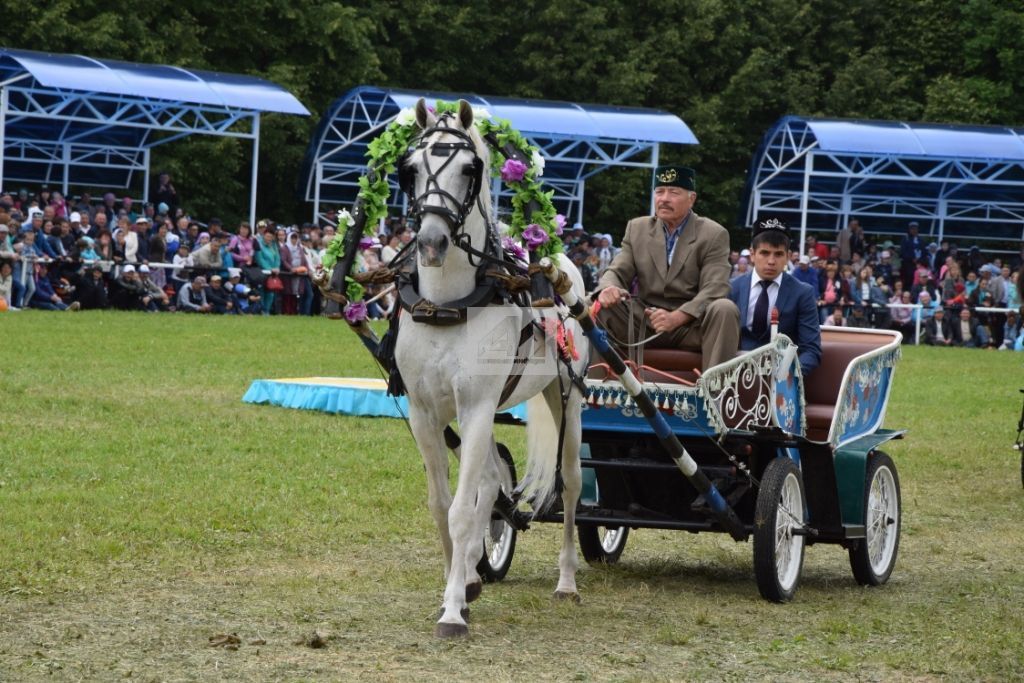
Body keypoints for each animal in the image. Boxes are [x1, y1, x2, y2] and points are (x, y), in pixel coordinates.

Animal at [391, 98, 585, 638]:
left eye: (469, 169)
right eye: (411, 169)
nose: (432, 243)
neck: (446, 305)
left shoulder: (477, 406)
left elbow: (461, 510)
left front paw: (454, 610)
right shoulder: (425, 413)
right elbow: (443, 505)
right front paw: (460, 584)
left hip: (566, 399)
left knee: (571, 483)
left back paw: (567, 581)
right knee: (489, 483)